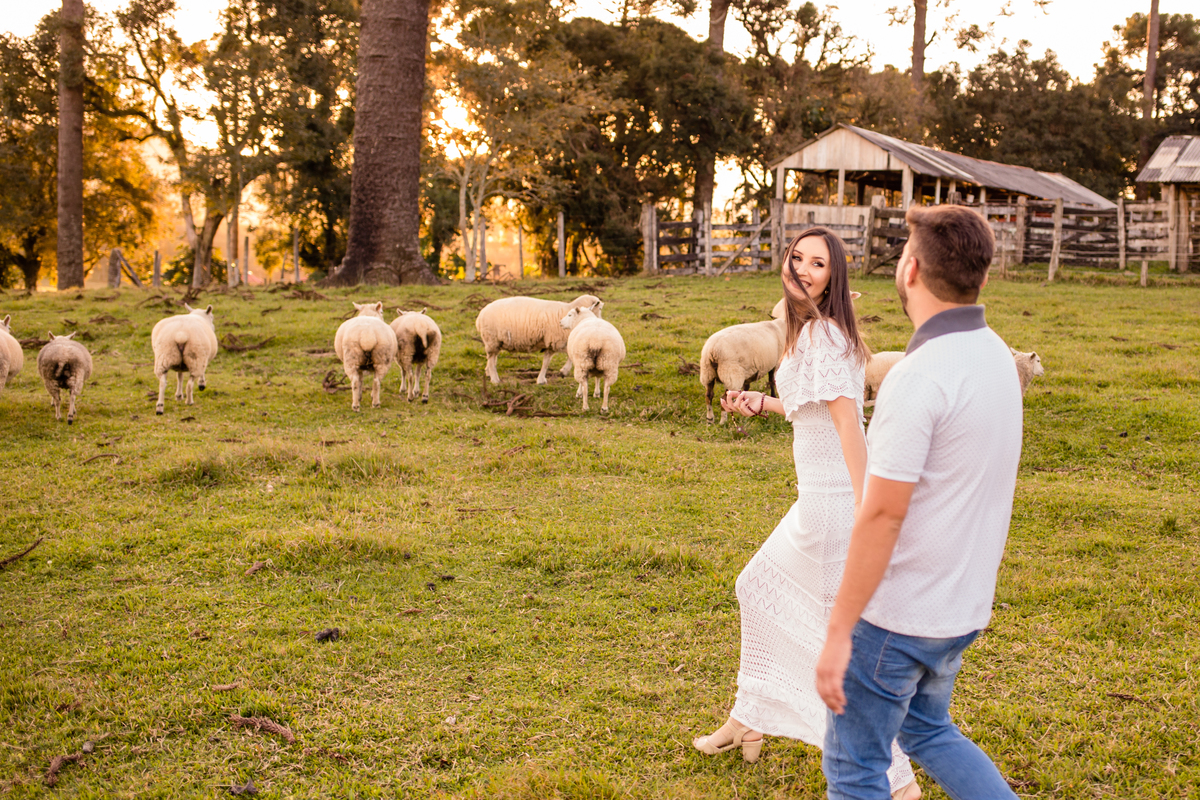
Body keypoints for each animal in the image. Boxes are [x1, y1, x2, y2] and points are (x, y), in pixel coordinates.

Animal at [475, 295, 603, 385]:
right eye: (600, 308)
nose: (600, 322)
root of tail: (480, 315)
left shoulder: (552, 342)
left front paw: (561, 372)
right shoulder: (554, 340)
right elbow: (547, 362)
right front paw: (544, 378)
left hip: (495, 341)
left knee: (492, 358)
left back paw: (488, 372)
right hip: (492, 339)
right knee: (492, 358)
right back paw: (494, 379)